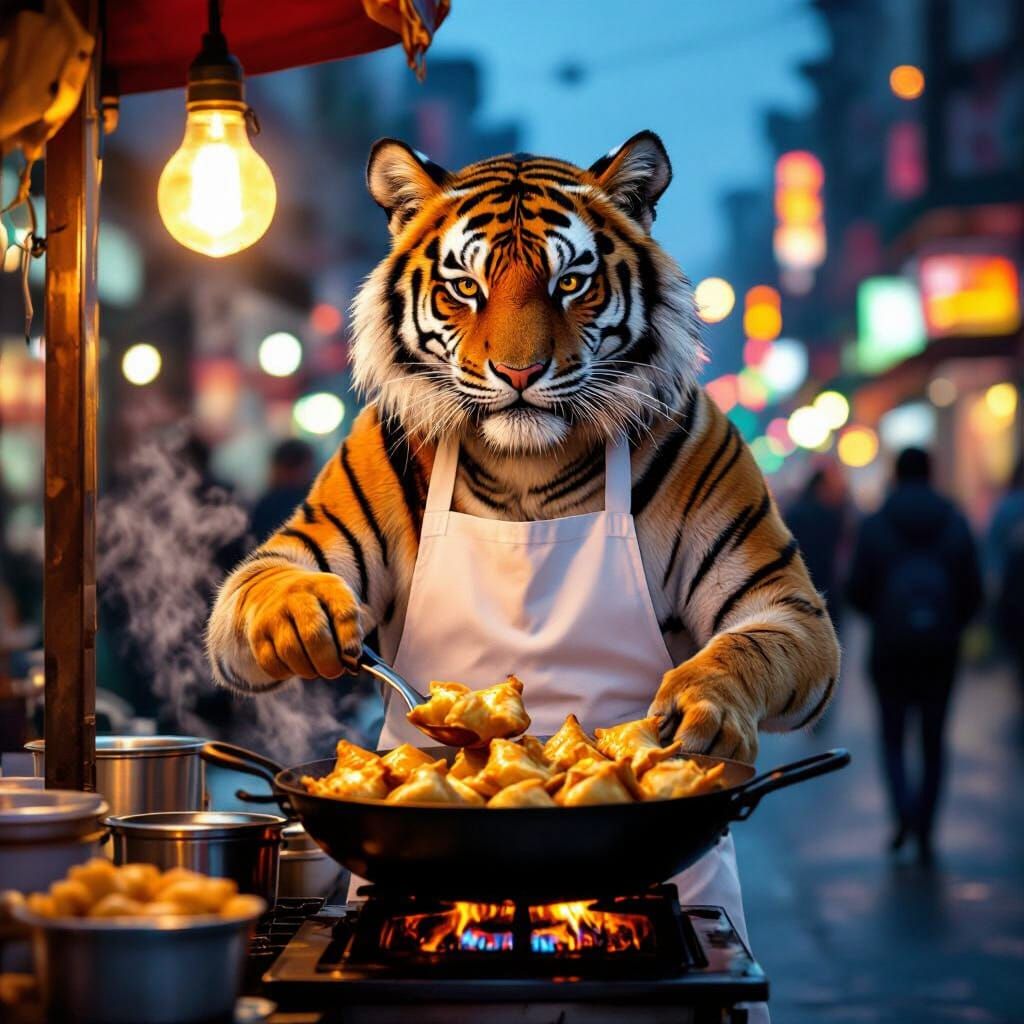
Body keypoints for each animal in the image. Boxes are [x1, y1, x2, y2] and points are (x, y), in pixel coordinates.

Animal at [207, 130, 840, 763]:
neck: (525, 464)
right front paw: (302, 613)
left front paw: (704, 702)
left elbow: (754, 641)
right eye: (466, 287)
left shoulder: (780, 598)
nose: (519, 372)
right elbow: (263, 576)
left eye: (570, 283)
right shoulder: (318, 528)